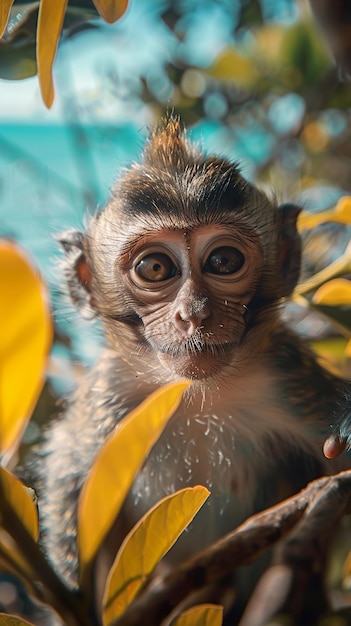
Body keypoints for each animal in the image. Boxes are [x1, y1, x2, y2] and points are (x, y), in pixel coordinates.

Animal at [31, 116, 350, 620]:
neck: (196, 394)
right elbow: (67, 467)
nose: (195, 313)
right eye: (155, 268)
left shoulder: (285, 372)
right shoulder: (109, 396)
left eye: (223, 260)